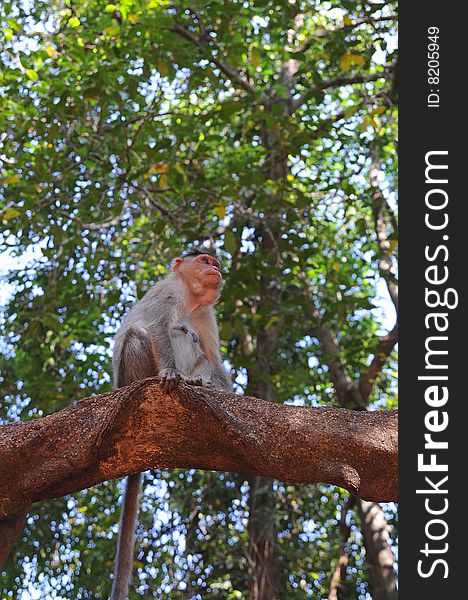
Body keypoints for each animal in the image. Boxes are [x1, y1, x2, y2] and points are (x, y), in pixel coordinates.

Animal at [108, 250, 232, 600]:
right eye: (204, 260)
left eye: (215, 263)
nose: (215, 269)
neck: (190, 300)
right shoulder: (167, 294)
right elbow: (158, 329)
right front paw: (170, 374)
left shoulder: (206, 314)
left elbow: (213, 358)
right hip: (131, 376)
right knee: (141, 334)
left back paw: (200, 384)